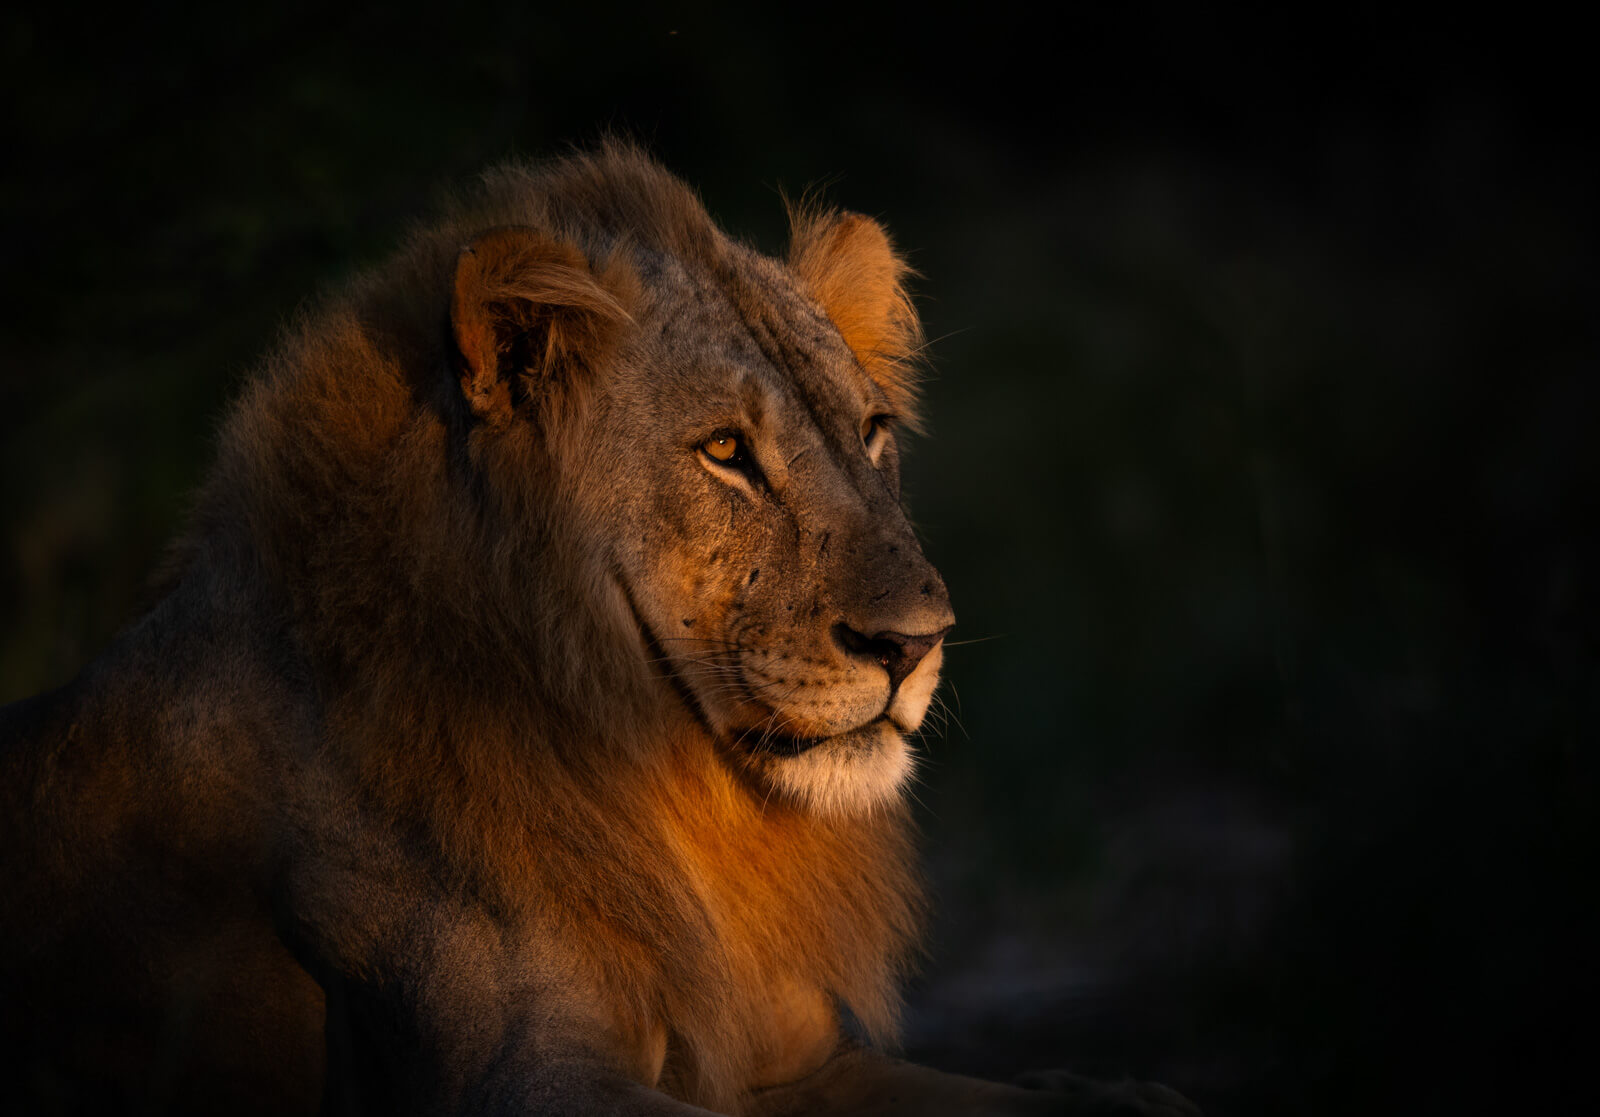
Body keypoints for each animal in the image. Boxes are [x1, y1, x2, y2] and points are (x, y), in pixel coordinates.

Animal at [0, 143, 1195, 1116]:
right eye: (725, 452)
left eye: (870, 431)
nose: (915, 643)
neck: (665, 788)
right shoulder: (519, 1077)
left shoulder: (794, 1059)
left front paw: (1123, 1090)